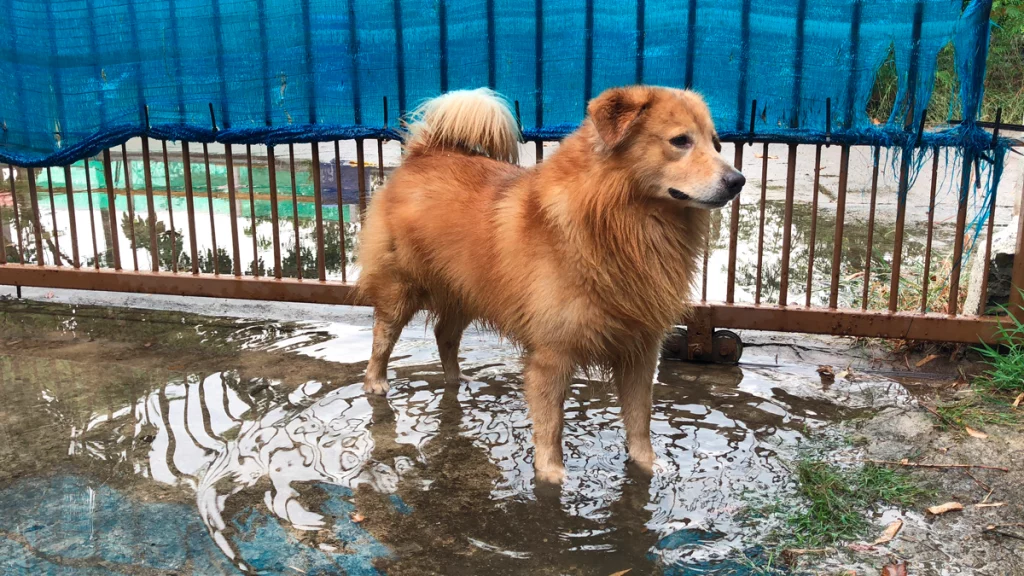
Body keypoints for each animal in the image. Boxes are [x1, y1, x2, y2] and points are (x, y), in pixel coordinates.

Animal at [358, 85, 745, 479]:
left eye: (716, 143)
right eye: (680, 140)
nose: (738, 181)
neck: (621, 222)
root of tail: (426, 152)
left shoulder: (639, 351)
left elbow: (639, 421)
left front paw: (646, 466)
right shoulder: (552, 356)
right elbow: (551, 425)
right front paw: (551, 476)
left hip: (466, 291)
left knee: (444, 336)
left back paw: (456, 380)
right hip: (400, 290)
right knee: (382, 338)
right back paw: (376, 383)